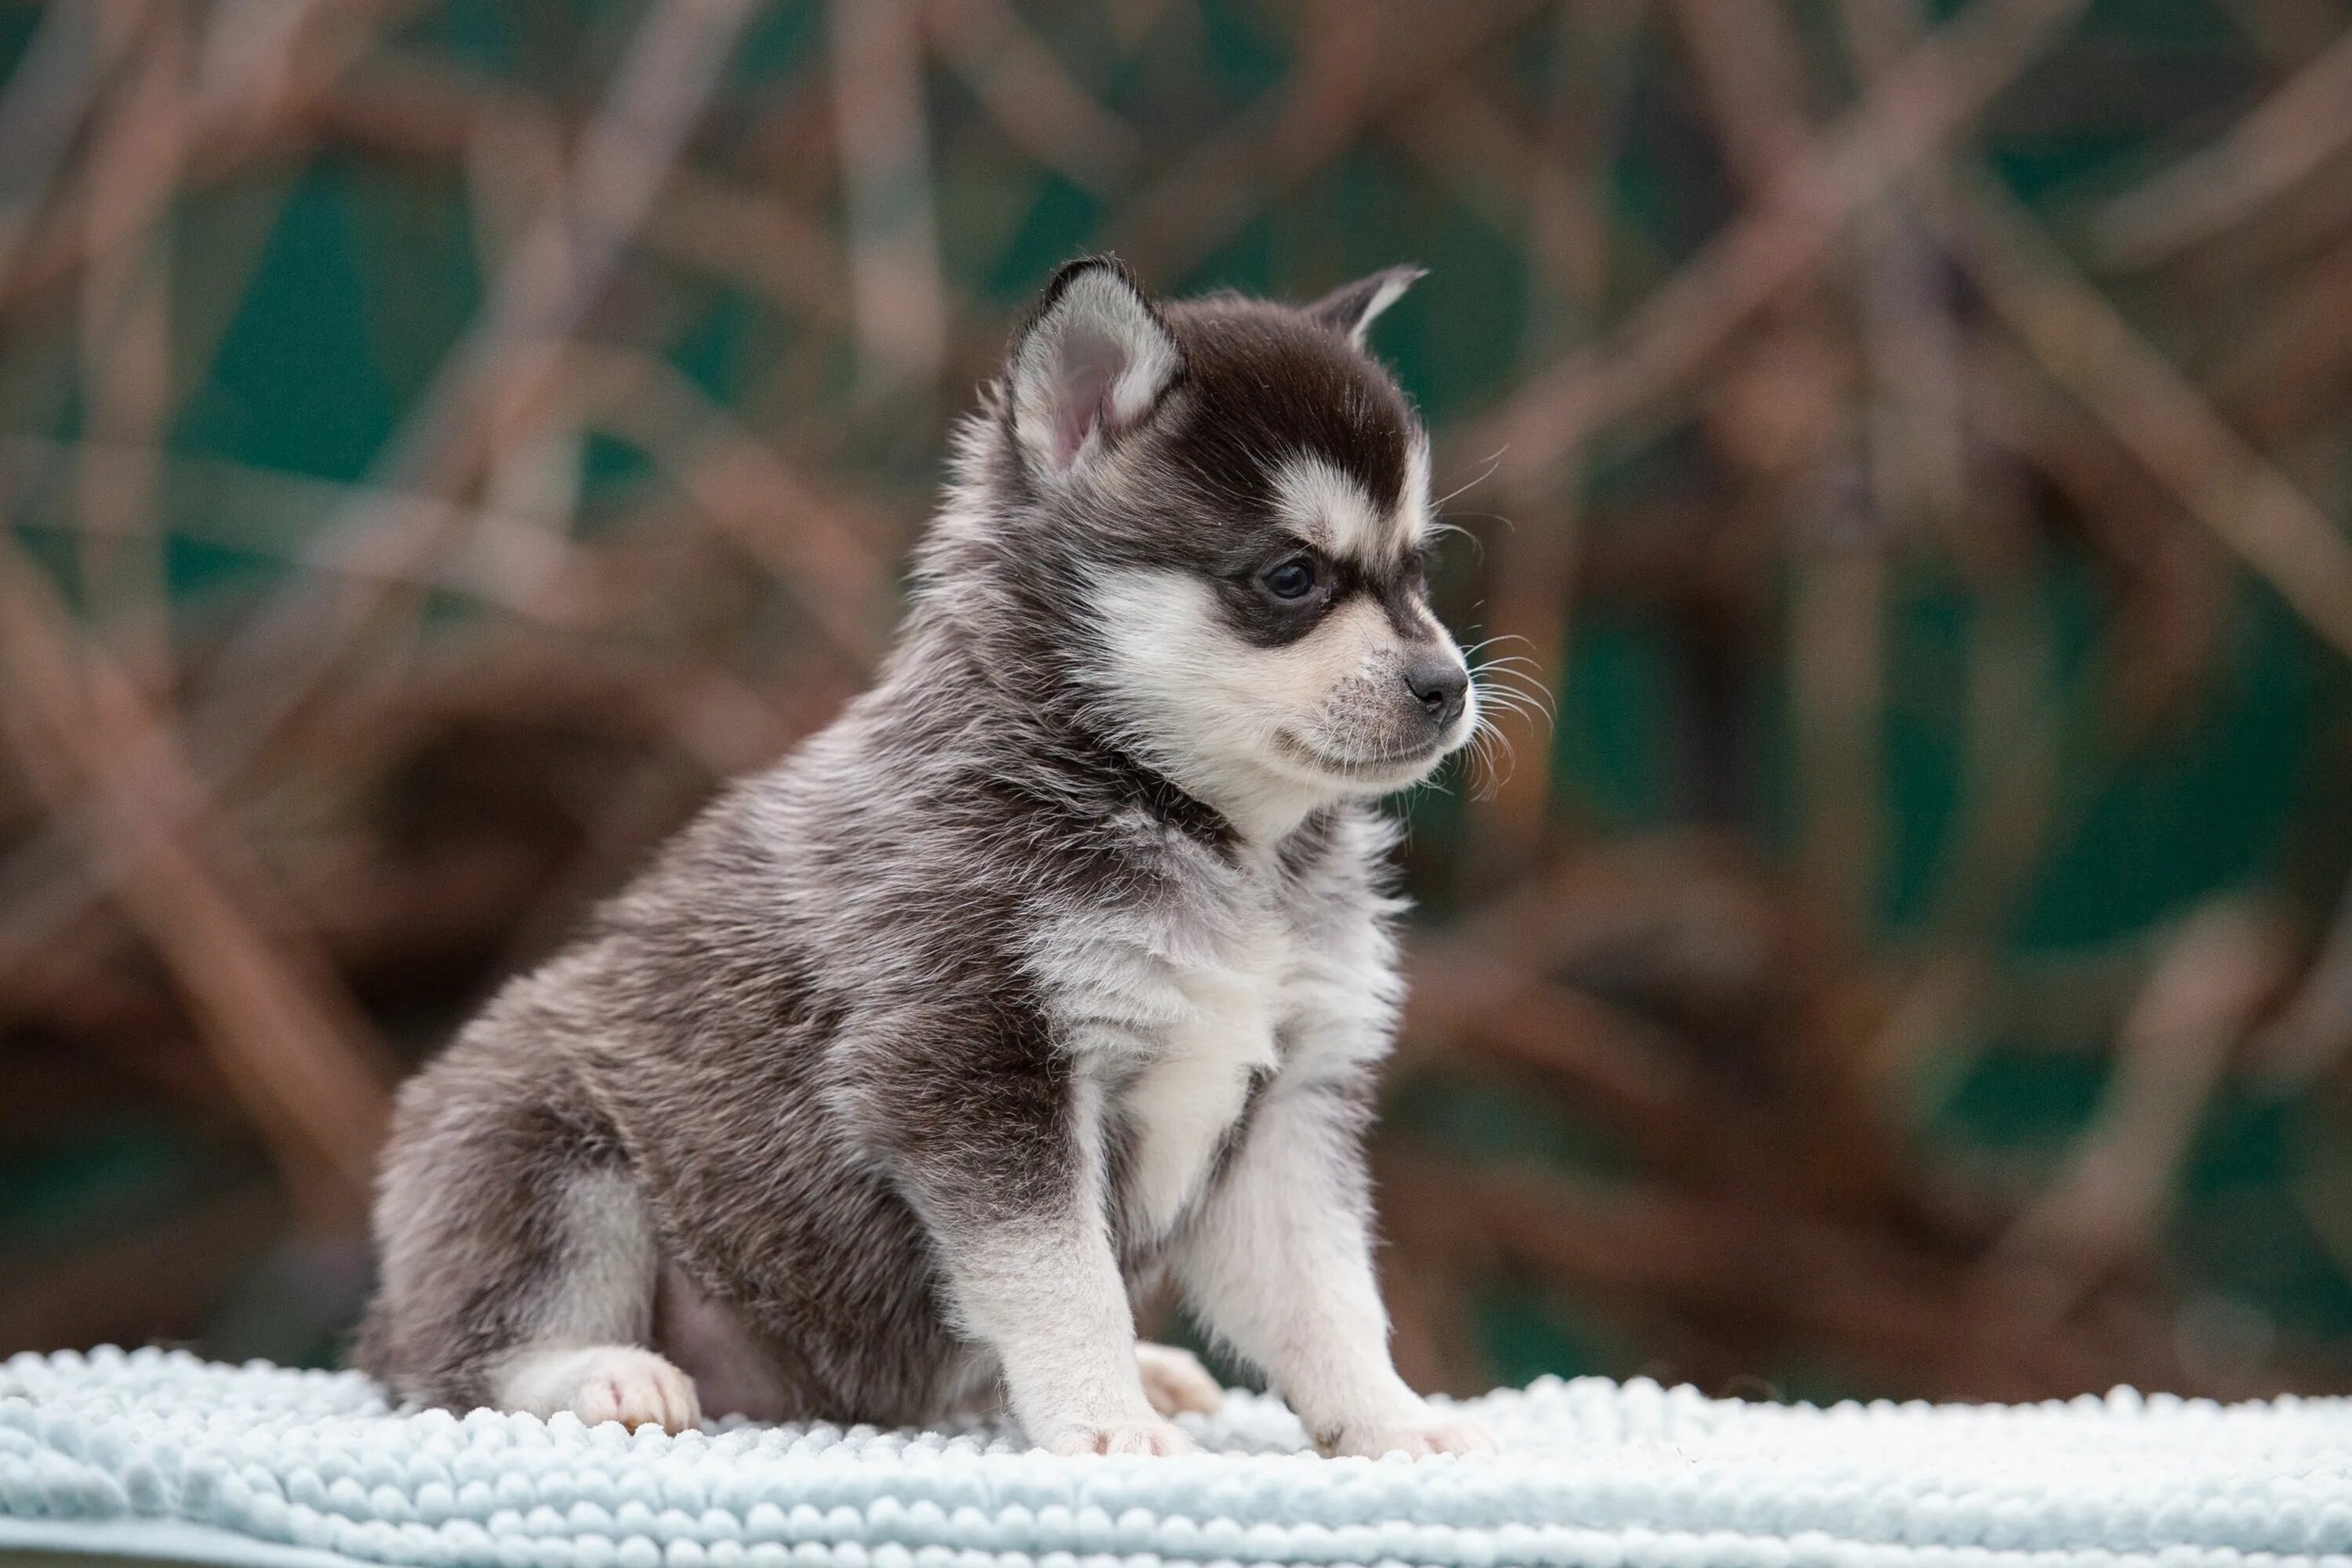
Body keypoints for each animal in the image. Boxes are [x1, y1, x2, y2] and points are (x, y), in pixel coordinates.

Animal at [353, 257, 1486, 1457]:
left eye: (1417, 570)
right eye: (1290, 578)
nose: (1447, 687)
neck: (1210, 835)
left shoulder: (1287, 1103)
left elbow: (1328, 1299)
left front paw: (1392, 1421)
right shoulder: (975, 1068)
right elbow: (1067, 1281)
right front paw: (1107, 1424)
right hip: (547, 1157)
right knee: (468, 1354)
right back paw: (608, 1376)